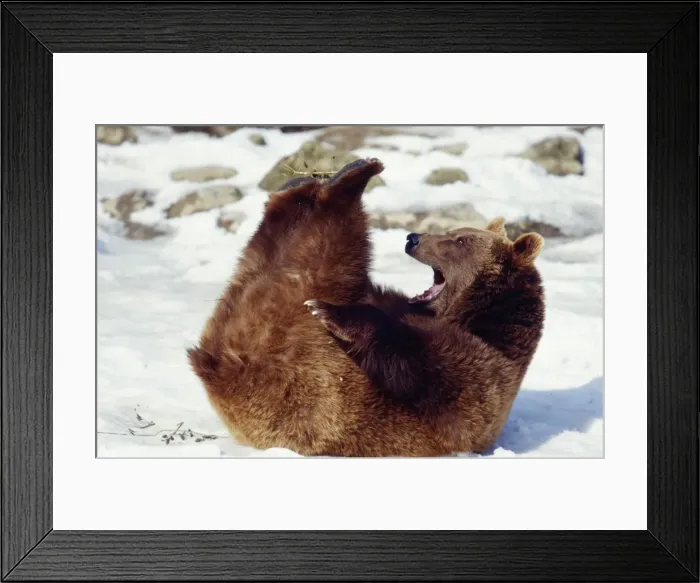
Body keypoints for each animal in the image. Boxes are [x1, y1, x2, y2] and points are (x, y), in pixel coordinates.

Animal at [188, 158, 545, 457]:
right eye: (453, 231)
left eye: (459, 241)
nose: (413, 238)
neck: (480, 320)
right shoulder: (397, 303)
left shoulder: (479, 380)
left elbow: (422, 366)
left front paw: (331, 312)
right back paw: (316, 181)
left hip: (287, 363)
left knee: (319, 244)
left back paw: (350, 178)